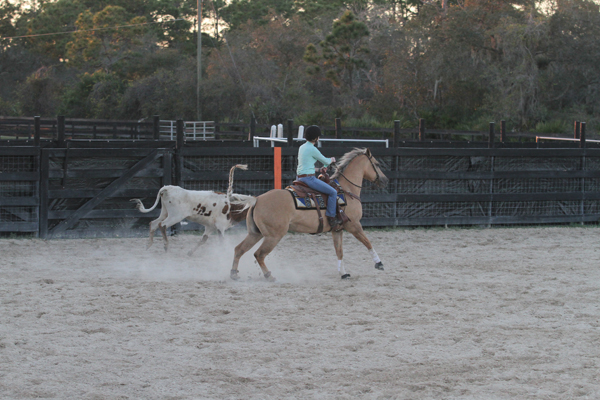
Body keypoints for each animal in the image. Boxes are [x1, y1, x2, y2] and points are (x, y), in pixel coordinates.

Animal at [230, 148, 390, 282]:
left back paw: (234, 274)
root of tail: (257, 199)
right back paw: (269, 276)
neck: (346, 190)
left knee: (239, 249)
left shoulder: (337, 229)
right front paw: (379, 264)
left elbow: (339, 251)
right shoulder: (354, 225)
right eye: (376, 164)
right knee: (259, 254)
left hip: (255, 233)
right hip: (273, 236)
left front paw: (343, 273)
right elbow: (367, 242)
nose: (385, 180)